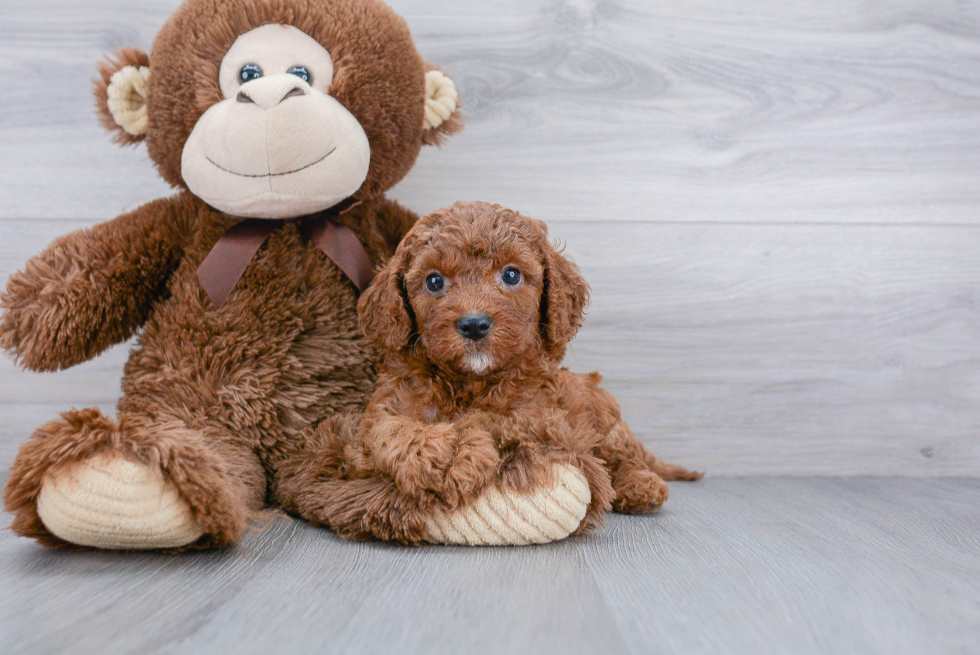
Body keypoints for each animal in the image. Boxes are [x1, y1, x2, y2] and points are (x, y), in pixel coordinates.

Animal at [278, 200, 704, 544]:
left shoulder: (538, 418)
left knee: (623, 456)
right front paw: (444, 452)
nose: (474, 324)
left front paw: (460, 446)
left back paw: (641, 485)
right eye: (434, 281)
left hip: (606, 415)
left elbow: (492, 420)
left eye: (511, 275)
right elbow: (391, 430)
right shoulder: (379, 417)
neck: (469, 382)